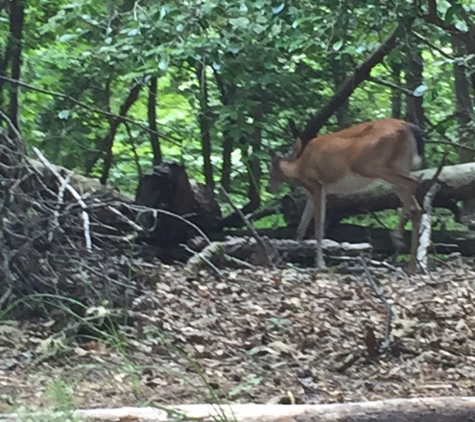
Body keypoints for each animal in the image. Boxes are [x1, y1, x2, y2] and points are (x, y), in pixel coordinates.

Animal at [266, 118, 426, 274]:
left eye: (270, 169)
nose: (268, 187)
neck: (299, 168)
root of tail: (408, 126)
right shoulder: (315, 193)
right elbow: (301, 227)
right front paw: (292, 253)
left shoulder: (317, 185)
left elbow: (319, 227)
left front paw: (320, 263)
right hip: (400, 165)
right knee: (416, 205)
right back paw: (412, 265)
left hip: (368, 164)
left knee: (413, 183)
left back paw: (397, 237)